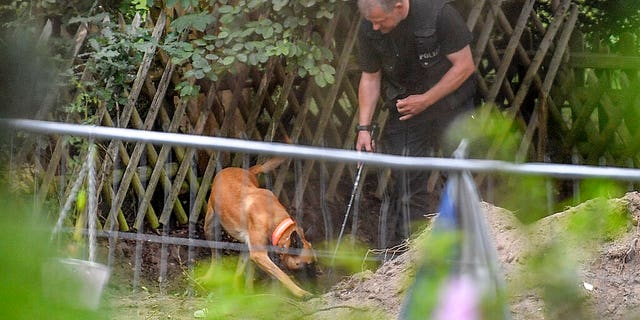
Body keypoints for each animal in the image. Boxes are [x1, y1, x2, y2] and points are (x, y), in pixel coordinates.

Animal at [202, 156, 318, 298]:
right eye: (307, 265)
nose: (317, 286)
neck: (278, 224)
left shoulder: (253, 252)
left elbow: (247, 272)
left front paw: (248, 293)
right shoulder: (259, 254)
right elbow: (282, 274)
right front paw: (300, 292)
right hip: (209, 228)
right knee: (215, 257)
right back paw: (210, 276)